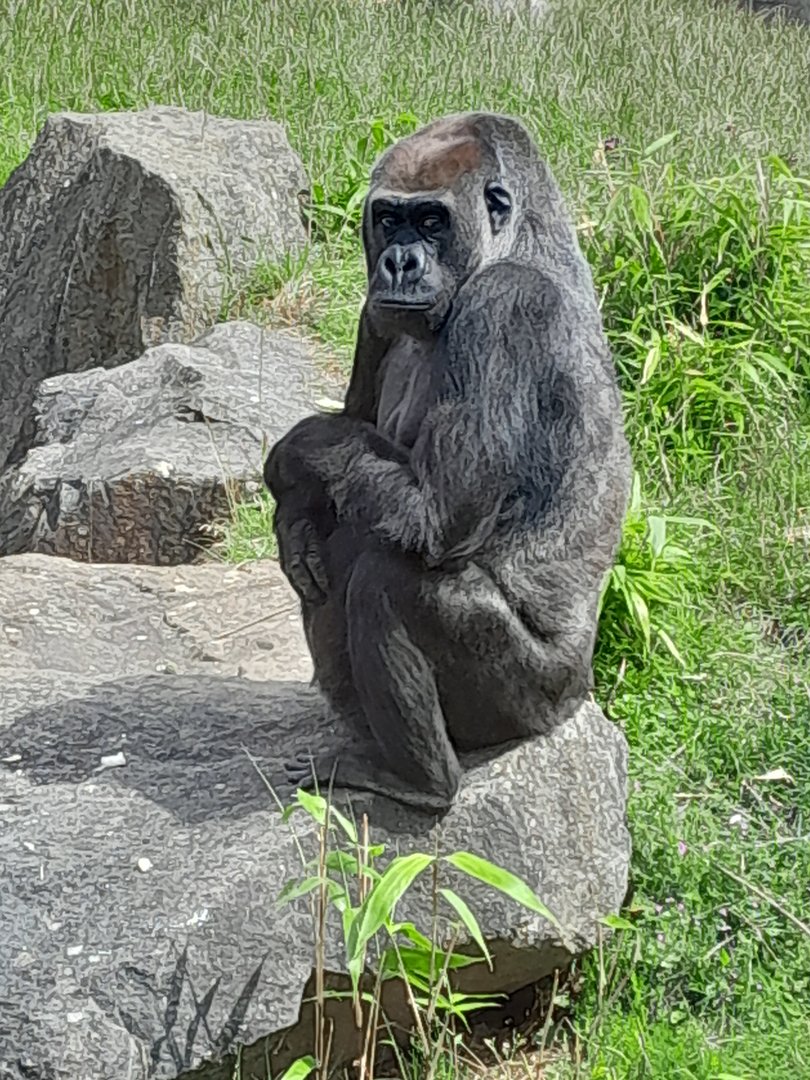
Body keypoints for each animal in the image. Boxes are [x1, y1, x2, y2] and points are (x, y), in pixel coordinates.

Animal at [264, 111, 632, 812]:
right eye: (389, 219)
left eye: (432, 221)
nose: (399, 262)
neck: (522, 240)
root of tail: (579, 697)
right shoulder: (373, 312)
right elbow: (347, 462)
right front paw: (293, 517)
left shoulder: (505, 308)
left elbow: (438, 515)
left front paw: (294, 450)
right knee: (350, 532)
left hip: (534, 702)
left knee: (391, 574)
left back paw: (421, 781)